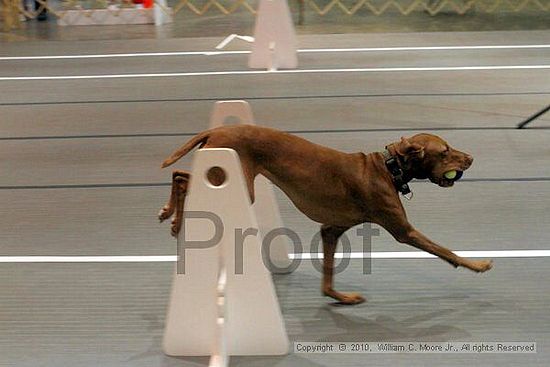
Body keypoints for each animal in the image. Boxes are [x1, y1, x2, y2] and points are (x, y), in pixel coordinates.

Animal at [158, 126, 492, 304]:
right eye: (445, 151)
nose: (472, 158)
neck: (388, 168)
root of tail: (217, 129)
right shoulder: (404, 231)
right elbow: (445, 250)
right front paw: (477, 265)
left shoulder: (331, 230)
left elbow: (328, 278)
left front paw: (341, 298)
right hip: (234, 180)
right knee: (183, 179)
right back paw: (174, 218)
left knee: (178, 175)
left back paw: (172, 216)